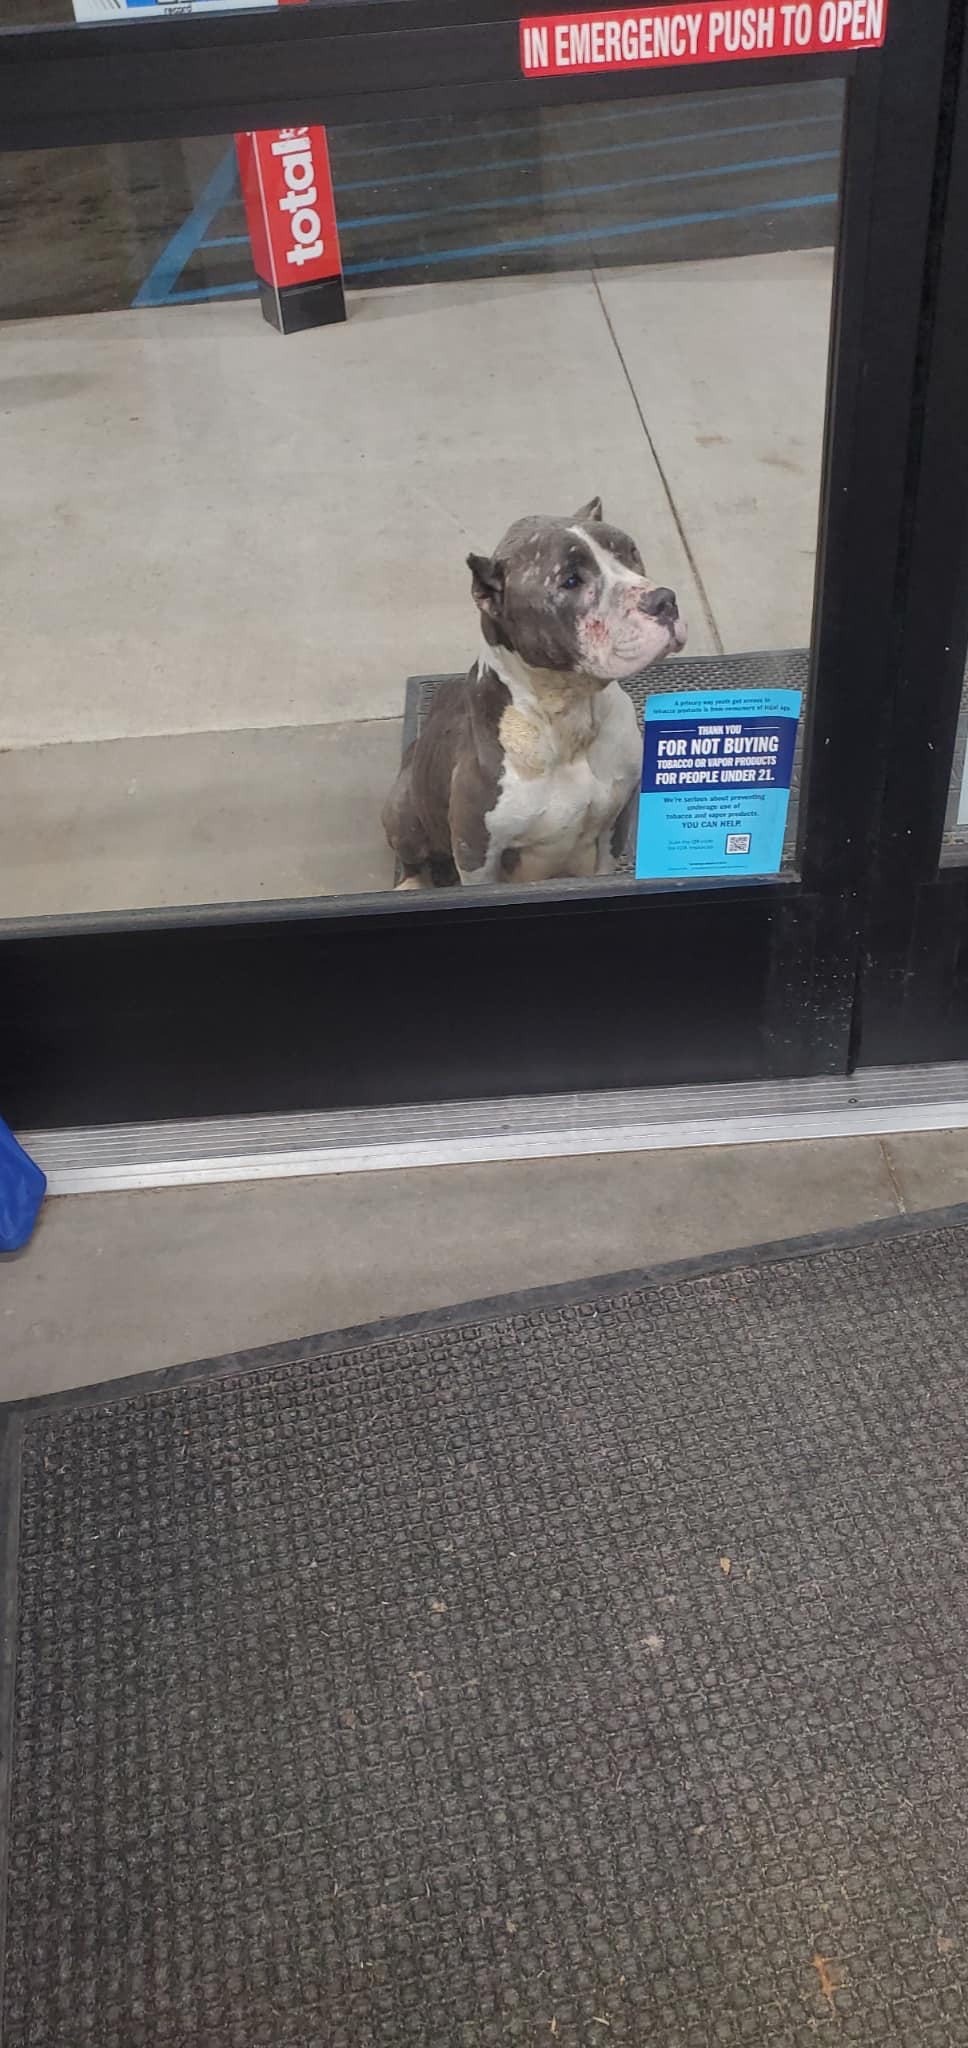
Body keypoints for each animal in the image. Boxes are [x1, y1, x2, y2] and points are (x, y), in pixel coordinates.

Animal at [380, 495, 683, 888]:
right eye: (571, 580)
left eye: (630, 552)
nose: (664, 600)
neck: (568, 714)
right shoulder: (476, 853)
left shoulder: (614, 825)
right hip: (405, 812)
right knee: (412, 854)